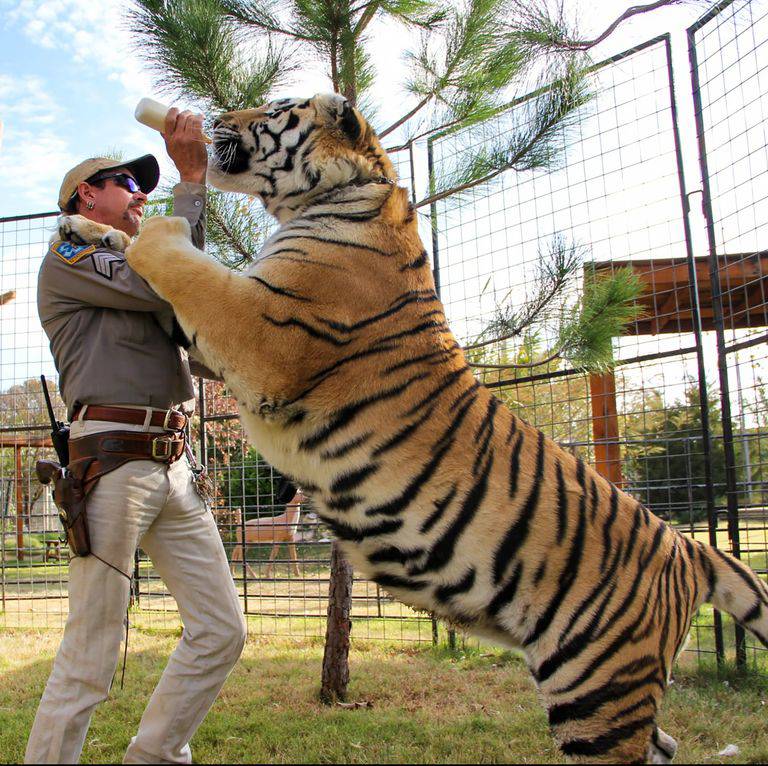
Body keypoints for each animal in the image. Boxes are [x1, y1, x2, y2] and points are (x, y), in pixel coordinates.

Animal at [115, 93, 768, 764]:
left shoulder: (260, 331)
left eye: (273, 108)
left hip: (597, 689)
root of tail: (690, 549)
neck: (339, 194)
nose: (213, 118)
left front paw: (144, 226)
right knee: (664, 743)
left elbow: (185, 266)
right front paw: (101, 229)